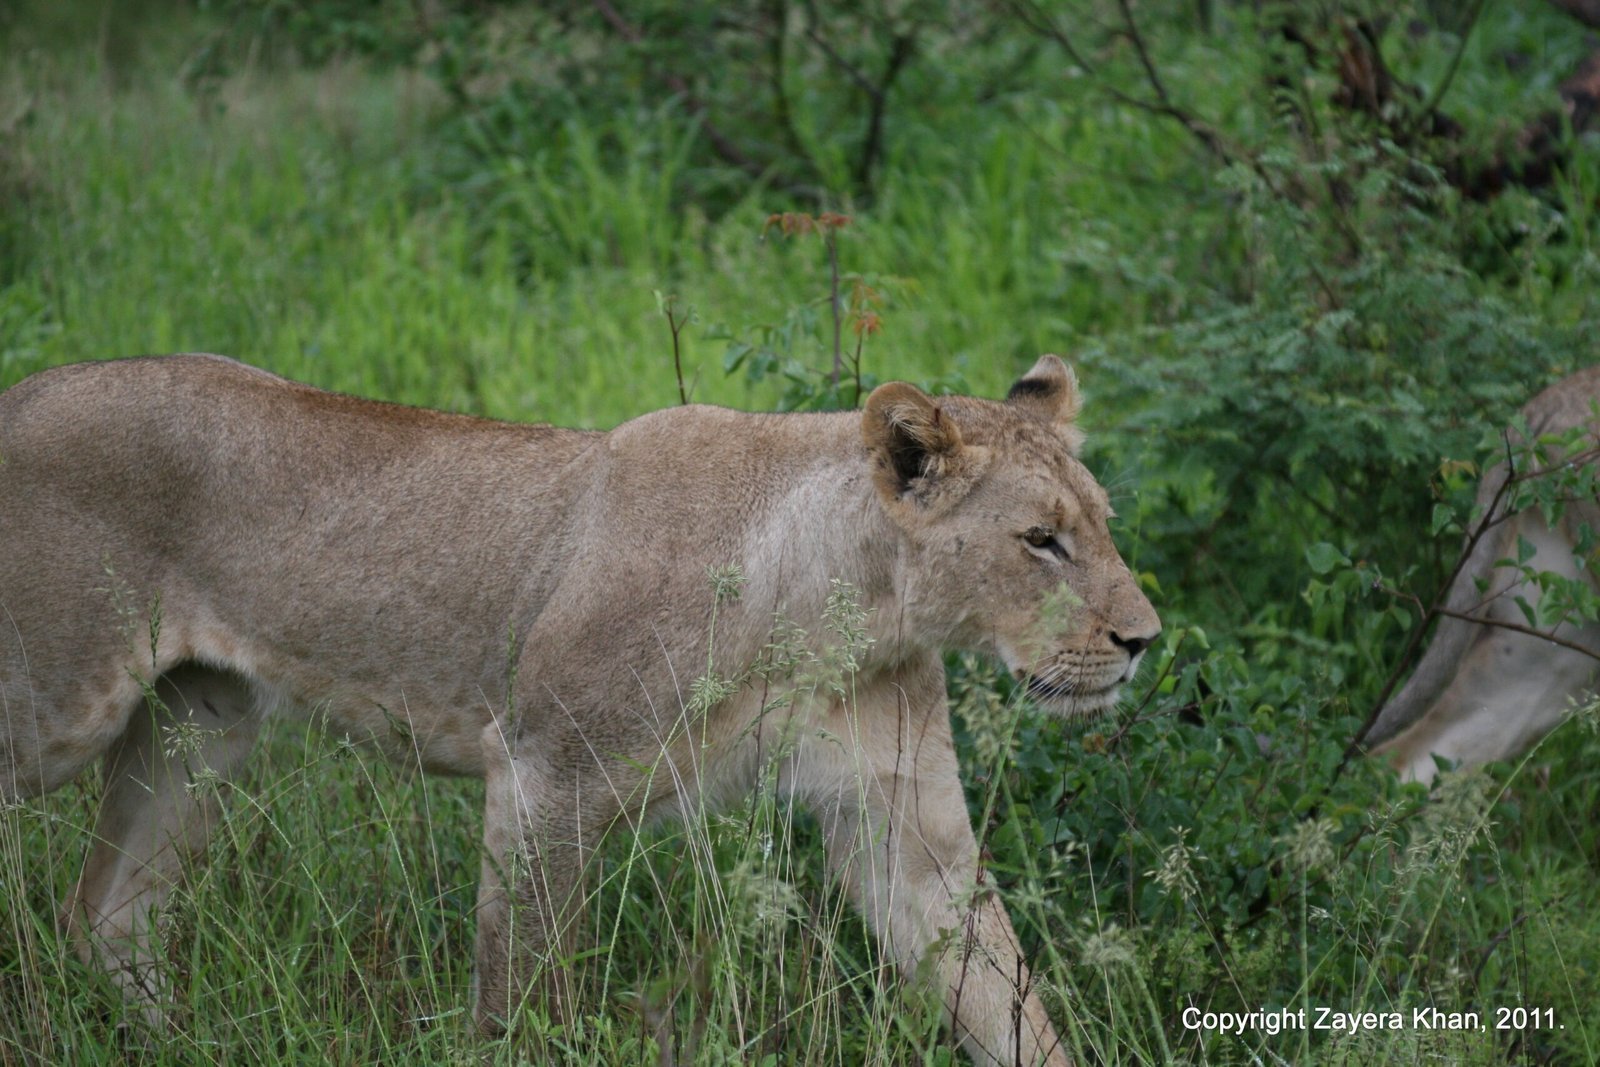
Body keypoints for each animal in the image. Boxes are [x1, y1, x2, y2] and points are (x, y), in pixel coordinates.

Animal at [0, 353, 1159, 1065]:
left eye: (1100, 522)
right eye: (1040, 540)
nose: (1145, 639)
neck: (841, 602)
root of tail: (25, 391)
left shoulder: (905, 828)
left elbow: (1005, 996)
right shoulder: (546, 769)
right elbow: (524, 995)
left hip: (202, 721)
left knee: (106, 913)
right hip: (57, 709)